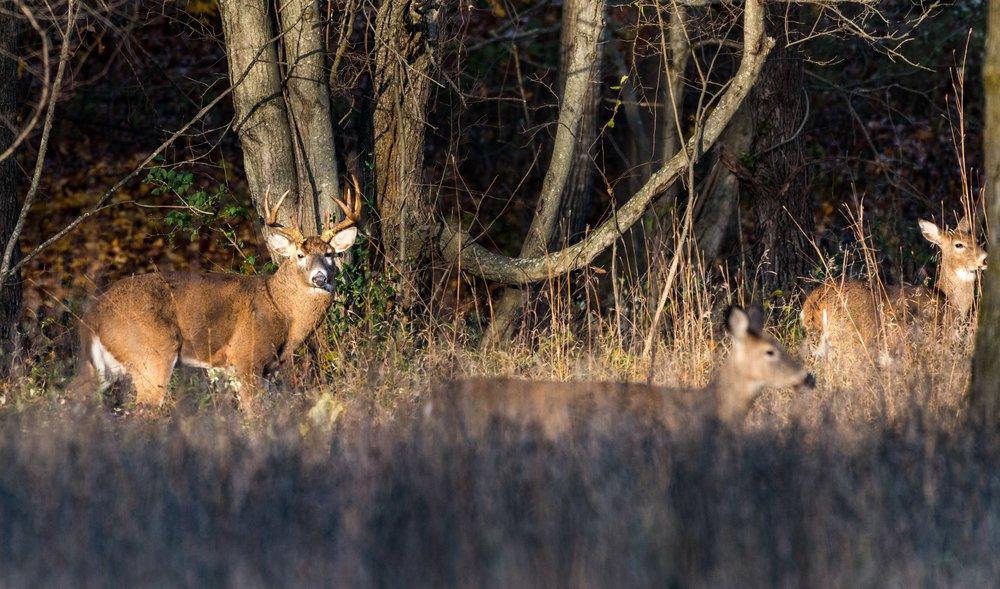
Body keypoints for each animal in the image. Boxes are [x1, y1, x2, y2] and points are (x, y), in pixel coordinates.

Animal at [71, 177, 368, 412]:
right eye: (300, 255)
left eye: (330, 254)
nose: (319, 278)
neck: (281, 310)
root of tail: (91, 317)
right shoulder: (246, 358)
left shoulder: (262, 370)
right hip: (152, 354)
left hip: (103, 367)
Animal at [800, 216, 988, 362]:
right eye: (959, 245)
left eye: (977, 241)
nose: (984, 258)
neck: (948, 299)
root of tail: (816, 301)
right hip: (853, 339)